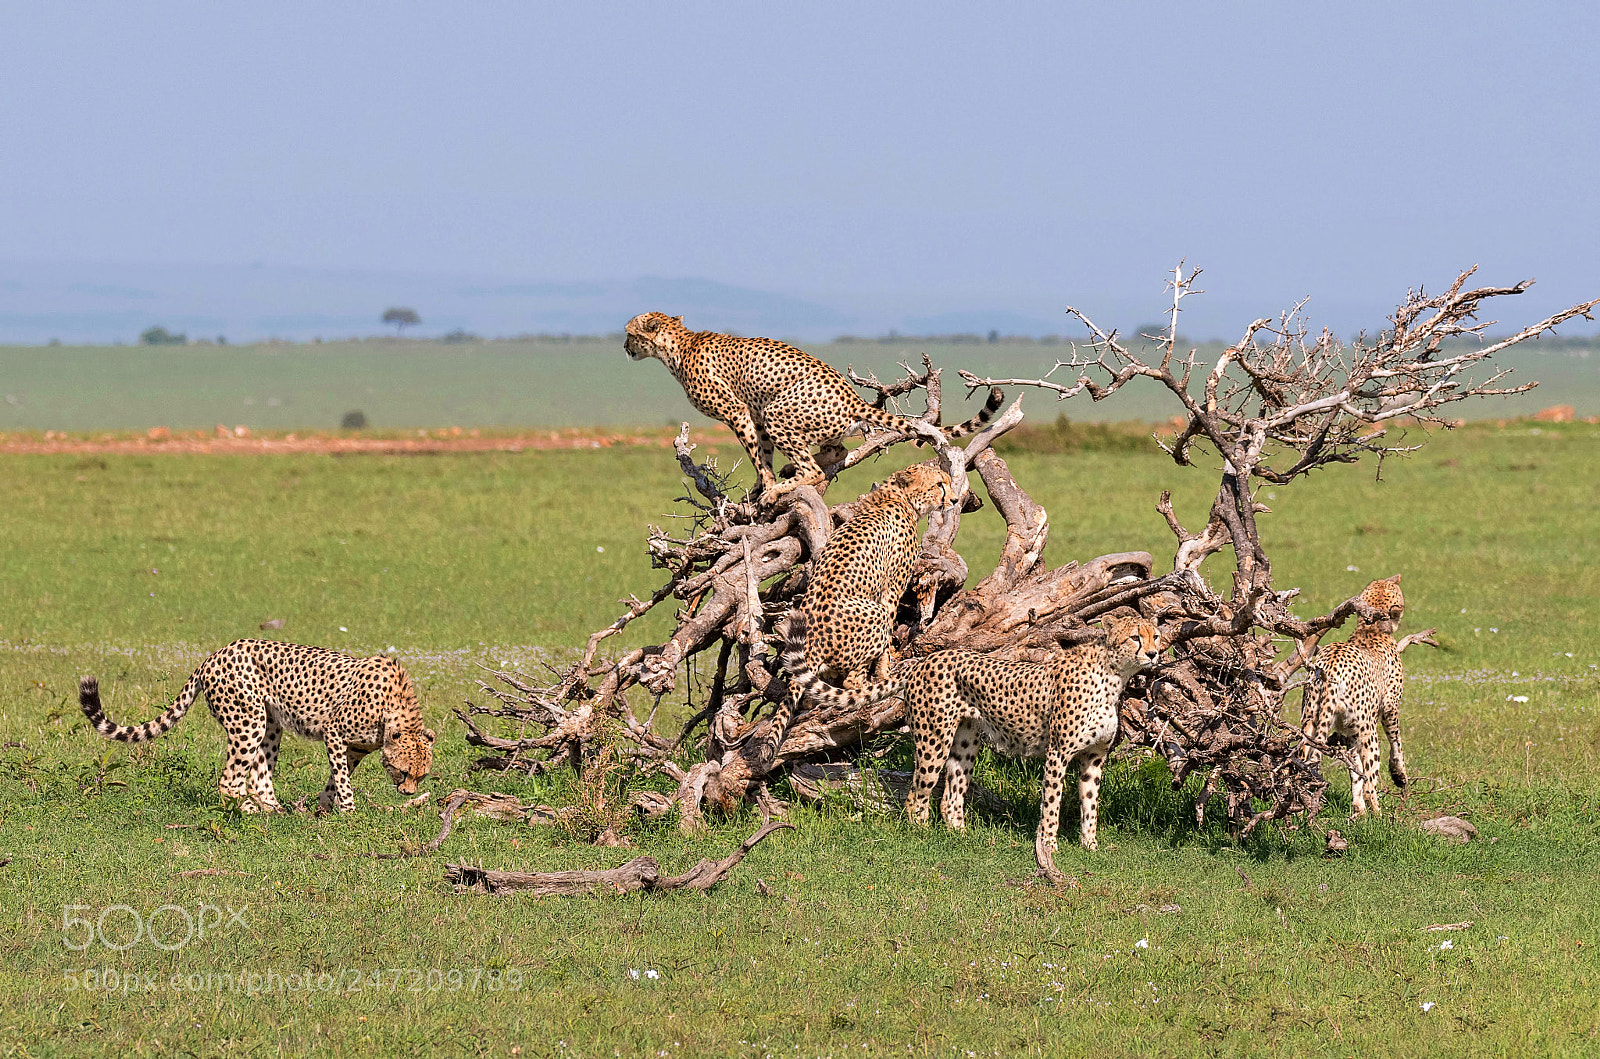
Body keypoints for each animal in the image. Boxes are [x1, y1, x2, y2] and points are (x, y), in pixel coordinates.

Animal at [80, 639, 435, 813]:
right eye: (403, 771)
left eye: (421, 776)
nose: (407, 793)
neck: (395, 711)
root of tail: (213, 654)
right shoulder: (334, 733)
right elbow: (343, 780)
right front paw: (348, 811)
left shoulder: (355, 749)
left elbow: (337, 777)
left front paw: (323, 805)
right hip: (248, 720)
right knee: (230, 779)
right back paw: (249, 810)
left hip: (270, 724)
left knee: (258, 774)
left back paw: (274, 809)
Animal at [624, 312, 1003, 501]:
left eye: (629, 333)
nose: (625, 348)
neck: (678, 345)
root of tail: (853, 397)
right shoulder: (754, 414)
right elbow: (762, 452)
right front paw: (764, 483)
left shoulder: (739, 412)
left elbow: (756, 456)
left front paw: (767, 489)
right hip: (788, 416)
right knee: (835, 452)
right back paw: (797, 468)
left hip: (778, 412)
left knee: (816, 470)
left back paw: (791, 480)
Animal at [754, 462, 959, 766]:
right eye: (939, 484)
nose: (955, 500)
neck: (896, 497)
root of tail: (812, 644)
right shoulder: (891, 590)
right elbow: (888, 631)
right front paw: (885, 669)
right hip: (874, 614)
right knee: (852, 681)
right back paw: (867, 684)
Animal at [783, 611, 1162, 883]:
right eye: (1135, 636)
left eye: (1155, 635)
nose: (1155, 653)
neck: (1114, 675)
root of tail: (926, 659)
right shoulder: (1057, 754)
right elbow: (1051, 806)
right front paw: (1050, 849)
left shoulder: (1093, 759)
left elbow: (1090, 805)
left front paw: (1091, 846)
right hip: (934, 738)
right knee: (916, 796)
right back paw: (922, 836)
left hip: (965, 743)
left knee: (950, 797)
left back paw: (962, 838)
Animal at [1299, 574, 1409, 817]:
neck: (1371, 629)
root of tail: (1330, 666)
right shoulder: (1389, 709)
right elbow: (1396, 744)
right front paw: (1399, 776)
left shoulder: (1349, 731)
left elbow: (1355, 770)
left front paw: (1358, 811)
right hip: (1369, 731)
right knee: (1370, 783)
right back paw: (1379, 816)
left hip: (1309, 721)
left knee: (1298, 764)